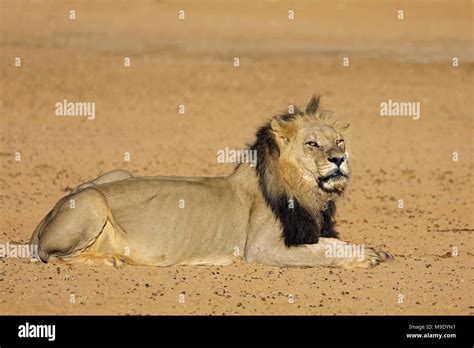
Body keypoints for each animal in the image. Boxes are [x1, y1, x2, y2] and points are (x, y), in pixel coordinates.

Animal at [28, 96, 392, 268]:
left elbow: (332, 243)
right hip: (92, 201)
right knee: (54, 257)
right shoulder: (261, 248)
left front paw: (374, 251)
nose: (339, 159)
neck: (306, 191)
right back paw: (109, 260)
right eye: (312, 144)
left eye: (340, 141)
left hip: (118, 173)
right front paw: (364, 258)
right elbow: (322, 253)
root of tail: (44, 219)